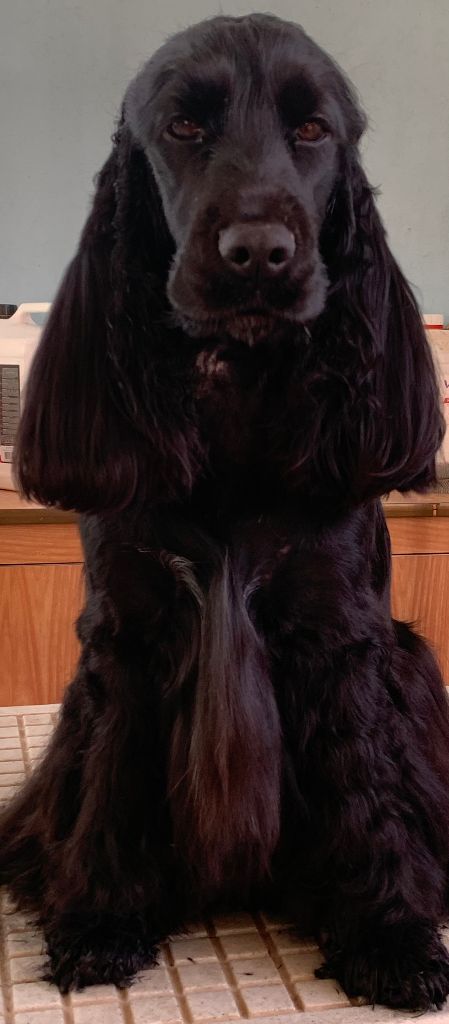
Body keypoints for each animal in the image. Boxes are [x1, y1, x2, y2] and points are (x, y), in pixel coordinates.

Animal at [2, 12, 449, 1010]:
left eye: (313, 130)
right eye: (183, 127)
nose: (257, 253)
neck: (236, 401)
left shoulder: (340, 635)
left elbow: (365, 787)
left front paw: (389, 935)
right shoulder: (127, 636)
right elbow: (113, 782)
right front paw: (98, 921)